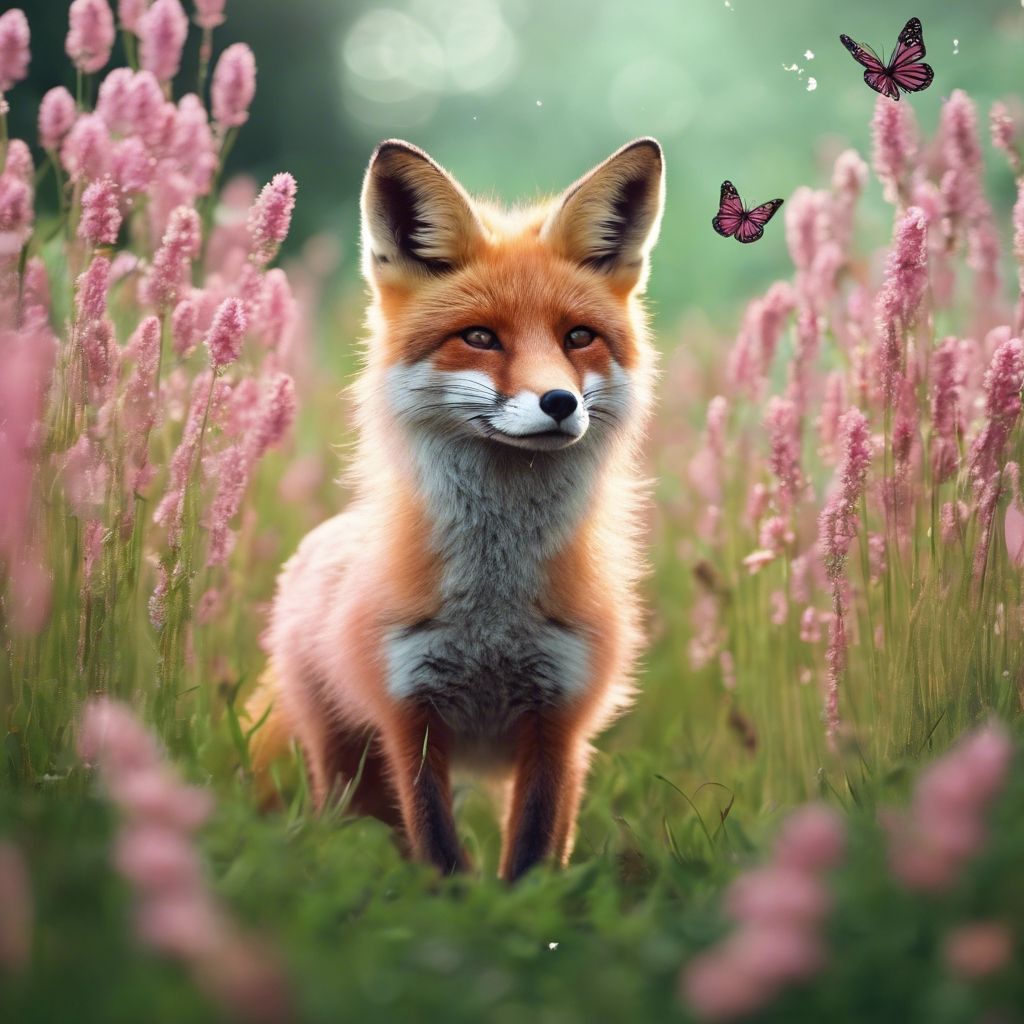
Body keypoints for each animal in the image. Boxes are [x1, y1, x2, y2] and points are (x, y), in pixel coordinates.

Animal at [248, 136, 665, 881]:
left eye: (578, 337)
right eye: (480, 338)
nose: (560, 402)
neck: (492, 617)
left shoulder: (560, 723)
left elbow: (532, 858)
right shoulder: (409, 717)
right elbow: (439, 855)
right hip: (346, 771)